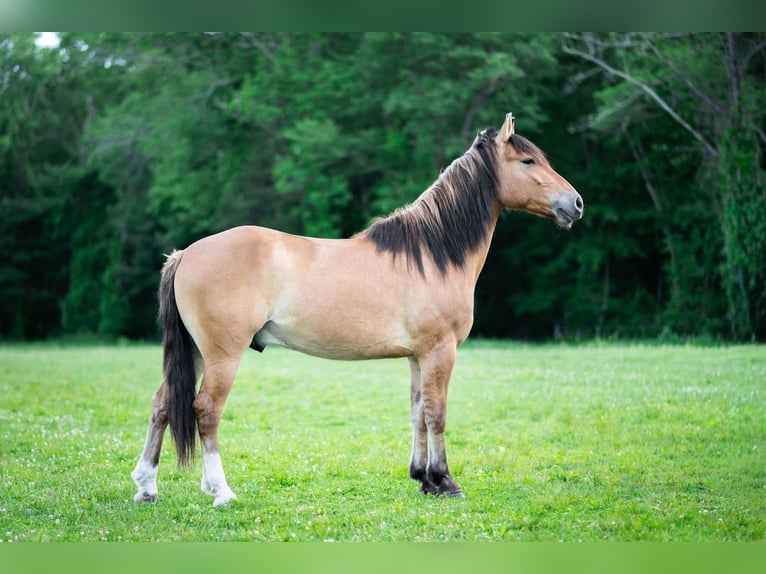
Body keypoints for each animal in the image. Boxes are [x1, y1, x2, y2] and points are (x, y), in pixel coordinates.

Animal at [131, 113, 584, 507]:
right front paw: (445, 481)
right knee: (206, 411)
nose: (576, 203)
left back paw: (146, 487)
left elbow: (418, 412)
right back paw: (220, 491)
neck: (433, 253)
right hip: (222, 355)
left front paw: (424, 479)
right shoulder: (441, 351)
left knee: (162, 405)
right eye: (528, 161)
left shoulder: (418, 356)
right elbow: (437, 413)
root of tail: (186, 254)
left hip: (194, 351)